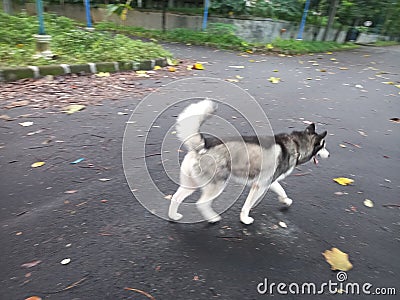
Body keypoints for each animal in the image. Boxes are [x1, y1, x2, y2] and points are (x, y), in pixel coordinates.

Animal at [167, 99, 330, 224]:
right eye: (323, 146)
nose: (329, 155)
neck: (296, 144)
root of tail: (203, 145)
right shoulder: (259, 186)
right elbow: (247, 205)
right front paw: (245, 219)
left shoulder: (268, 181)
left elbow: (280, 190)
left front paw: (286, 200)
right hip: (216, 185)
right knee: (201, 203)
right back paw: (212, 218)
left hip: (191, 184)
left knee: (176, 197)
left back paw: (173, 216)